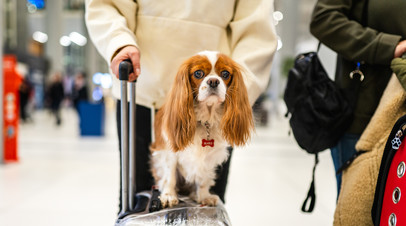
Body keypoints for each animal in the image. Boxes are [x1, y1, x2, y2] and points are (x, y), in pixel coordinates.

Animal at [149, 50, 252, 208]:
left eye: (225, 74)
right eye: (198, 73)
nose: (213, 81)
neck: (205, 119)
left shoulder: (209, 156)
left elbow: (203, 178)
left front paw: (203, 196)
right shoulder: (169, 150)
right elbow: (169, 175)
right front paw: (168, 195)